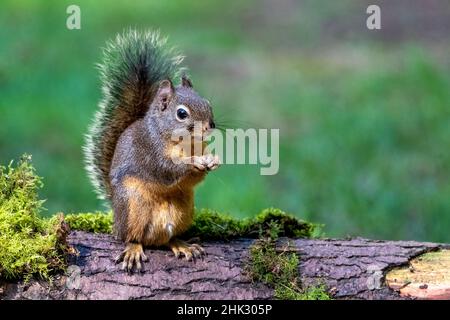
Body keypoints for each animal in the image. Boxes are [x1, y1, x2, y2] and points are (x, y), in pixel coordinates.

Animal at [84, 29, 220, 272]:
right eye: (182, 113)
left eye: (208, 104)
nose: (209, 126)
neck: (185, 143)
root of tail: (116, 217)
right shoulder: (150, 152)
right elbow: (166, 170)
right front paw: (194, 162)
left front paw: (211, 160)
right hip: (132, 207)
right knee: (132, 236)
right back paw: (133, 249)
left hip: (184, 210)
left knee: (167, 238)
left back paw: (182, 244)